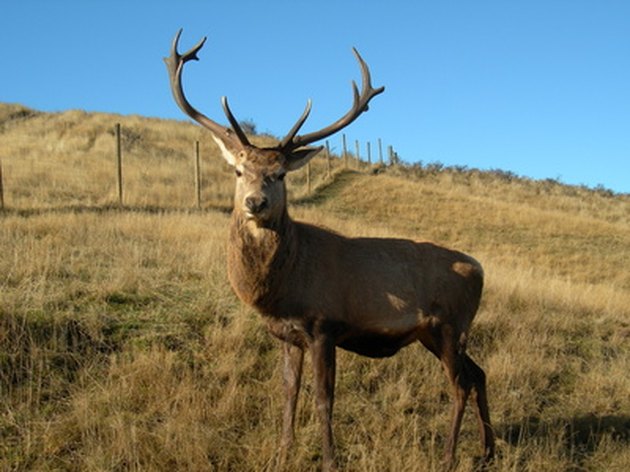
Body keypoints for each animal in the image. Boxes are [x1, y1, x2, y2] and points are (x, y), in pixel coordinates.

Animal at [165, 30, 496, 472]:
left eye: (280, 174)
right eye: (238, 170)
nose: (255, 202)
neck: (281, 290)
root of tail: (480, 269)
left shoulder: (324, 325)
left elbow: (324, 398)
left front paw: (329, 459)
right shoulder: (287, 335)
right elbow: (288, 392)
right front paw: (282, 453)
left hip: (449, 325)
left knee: (459, 384)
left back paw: (448, 456)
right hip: (439, 333)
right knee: (478, 374)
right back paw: (488, 450)